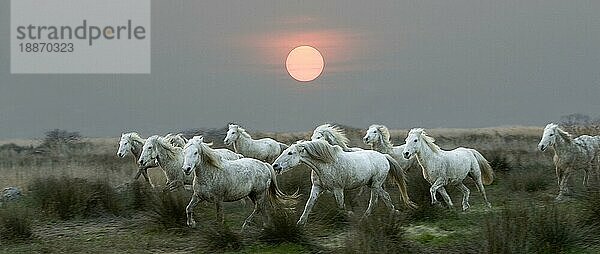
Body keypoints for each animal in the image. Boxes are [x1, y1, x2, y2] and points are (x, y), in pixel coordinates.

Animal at [274, 140, 414, 225]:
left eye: (290, 153)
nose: (275, 166)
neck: (325, 164)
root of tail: (384, 156)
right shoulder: (317, 187)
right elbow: (309, 204)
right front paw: (300, 223)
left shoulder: (338, 189)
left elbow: (341, 206)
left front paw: (350, 216)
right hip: (373, 184)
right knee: (386, 196)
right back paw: (394, 212)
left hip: (375, 184)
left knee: (373, 201)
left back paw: (364, 218)